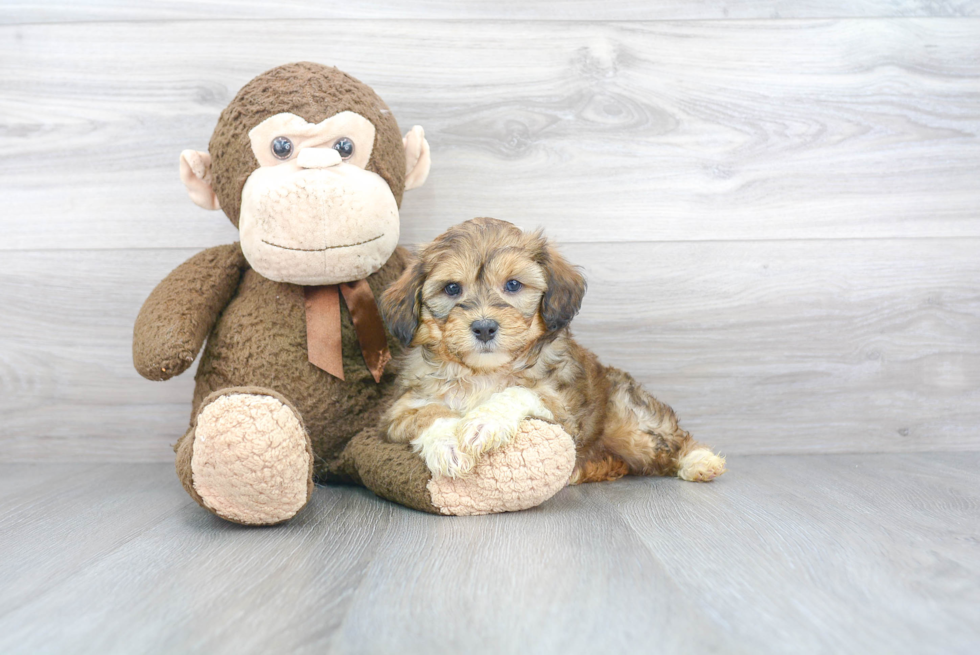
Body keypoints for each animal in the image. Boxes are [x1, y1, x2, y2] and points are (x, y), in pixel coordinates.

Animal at [378, 218, 724, 484]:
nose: (484, 327)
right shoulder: (398, 410)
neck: (483, 372)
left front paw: (485, 421)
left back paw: (700, 461)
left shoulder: (565, 409)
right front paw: (448, 443)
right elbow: (429, 413)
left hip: (633, 422)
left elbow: (521, 391)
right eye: (452, 288)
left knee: (671, 439)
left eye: (513, 285)